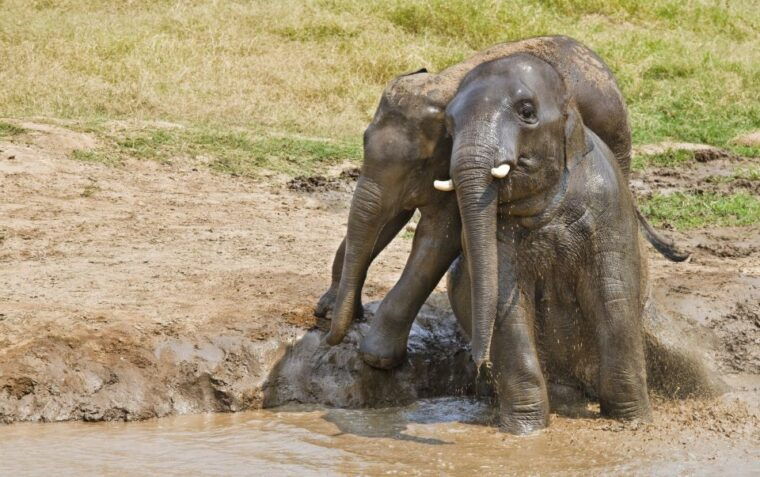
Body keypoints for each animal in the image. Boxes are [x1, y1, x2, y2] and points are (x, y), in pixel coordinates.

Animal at [317, 35, 686, 370]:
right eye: (364, 140)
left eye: (422, 162)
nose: (330, 337)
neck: (443, 81)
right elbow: (385, 220)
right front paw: (330, 311)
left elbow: (437, 240)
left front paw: (376, 358)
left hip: (615, 136)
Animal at [445, 53, 652, 433]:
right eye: (448, 125)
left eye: (527, 111)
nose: (479, 364)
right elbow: (506, 306)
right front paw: (526, 431)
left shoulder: (610, 207)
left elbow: (612, 297)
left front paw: (633, 423)